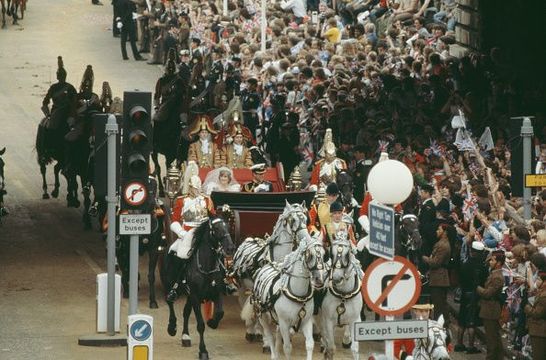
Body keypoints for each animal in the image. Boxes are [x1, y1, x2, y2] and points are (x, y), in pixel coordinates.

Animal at [166, 215, 234, 358]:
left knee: (186, 311)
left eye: (227, 226)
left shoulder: (216, 293)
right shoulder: (195, 296)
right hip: (171, 284)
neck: (206, 265)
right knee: (169, 300)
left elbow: (220, 312)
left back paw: (185, 336)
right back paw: (172, 327)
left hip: (189, 295)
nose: (230, 248)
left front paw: (212, 323)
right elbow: (201, 325)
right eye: (216, 228)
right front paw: (203, 351)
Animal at [233, 202, 310, 346]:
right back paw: (251, 330)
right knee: (245, 303)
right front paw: (265, 339)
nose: (306, 238)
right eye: (292, 220)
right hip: (242, 286)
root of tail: (249, 239)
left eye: (306, 219)